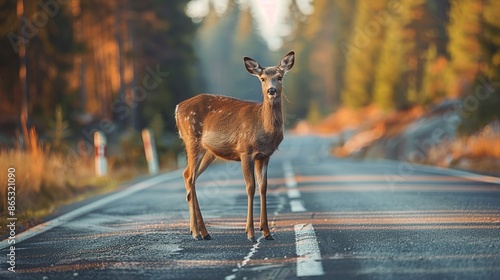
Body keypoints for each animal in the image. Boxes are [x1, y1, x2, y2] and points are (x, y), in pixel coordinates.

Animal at [175, 50, 294, 243]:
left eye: (279, 77)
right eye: (262, 78)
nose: (271, 91)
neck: (264, 126)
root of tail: (178, 108)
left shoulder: (265, 155)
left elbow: (263, 187)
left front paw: (267, 232)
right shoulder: (245, 151)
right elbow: (250, 187)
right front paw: (250, 233)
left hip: (208, 152)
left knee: (188, 176)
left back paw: (201, 232)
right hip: (191, 139)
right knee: (190, 177)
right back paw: (198, 233)